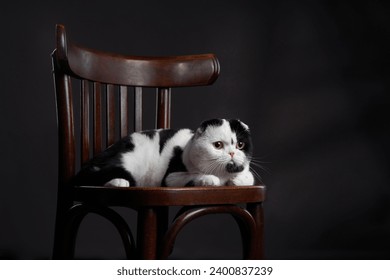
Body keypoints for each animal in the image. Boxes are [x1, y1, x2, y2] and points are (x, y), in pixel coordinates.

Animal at [73, 118, 256, 188]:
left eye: (240, 145)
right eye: (218, 145)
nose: (232, 153)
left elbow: (248, 177)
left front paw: (237, 180)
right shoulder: (170, 177)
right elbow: (196, 176)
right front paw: (209, 179)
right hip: (127, 160)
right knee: (93, 177)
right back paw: (119, 182)